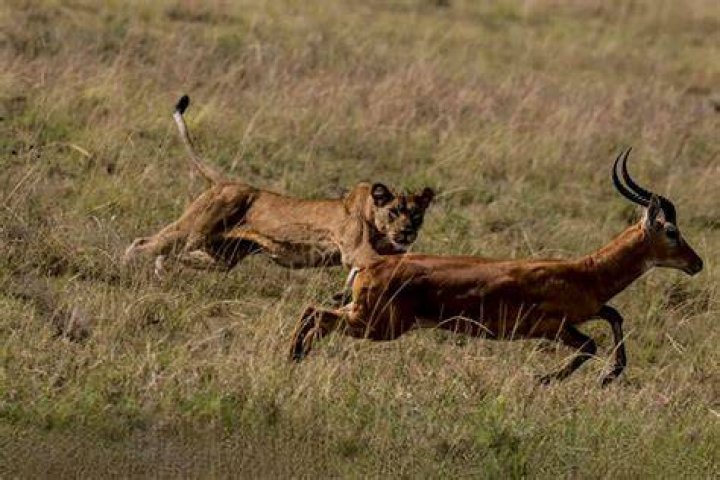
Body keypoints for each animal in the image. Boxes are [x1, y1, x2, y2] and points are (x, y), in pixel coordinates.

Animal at [124, 96, 435, 277]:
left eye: (416, 215)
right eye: (393, 212)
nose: (407, 231)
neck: (376, 221)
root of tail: (227, 182)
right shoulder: (357, 252)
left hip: (221, 256)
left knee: (175, 254)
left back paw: (161, 269)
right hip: (192, 231)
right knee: (143, 243)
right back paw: (126, 269)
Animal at [290, 149, 703, 385]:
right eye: (671, 230)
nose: (697, 263)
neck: (585, 272)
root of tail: (370, 265)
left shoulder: (588, 310)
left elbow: (614, 315)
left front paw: (608, 376)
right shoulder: (551, 327)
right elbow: (590, 344)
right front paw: (546, 379)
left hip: (363, 314)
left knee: (314, 313)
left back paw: (296, 357)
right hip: (378, 325)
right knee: (315, 313)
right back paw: (294, 357)